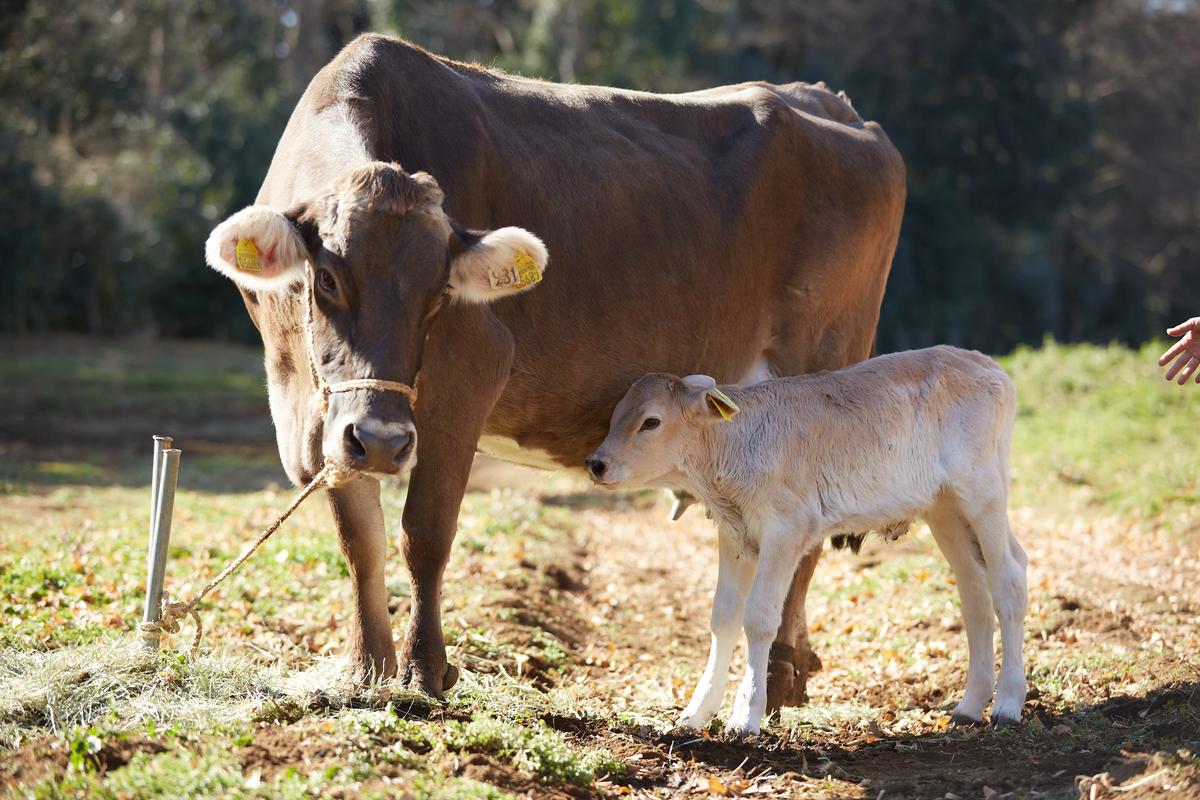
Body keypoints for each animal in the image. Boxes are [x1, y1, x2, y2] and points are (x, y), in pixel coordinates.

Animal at [204, 34, 902, 710]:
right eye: (325, 278)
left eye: (440, 293)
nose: (381, 440)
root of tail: (827, 100)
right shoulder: (316, 416)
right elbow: (360, 541)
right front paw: (365, 671)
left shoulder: (466, 380)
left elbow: (424, 532)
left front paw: (425, 672)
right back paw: (797, 665)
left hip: (823, 367)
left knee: (808, 534)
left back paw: (780, 674)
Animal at [585, 347, 1027, 734]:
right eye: (617, 415)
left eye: (651, 422)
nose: (596, 463)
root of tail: (984, 362)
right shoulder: (735, 535)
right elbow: (723, 617)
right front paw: (695, 713)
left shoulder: (787, 529)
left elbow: (760, 617)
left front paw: (745, 717)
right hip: (945, 509)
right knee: (974, 591)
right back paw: (969, 706)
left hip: (983, 493)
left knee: (1009, 576)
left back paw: (1007, 703)